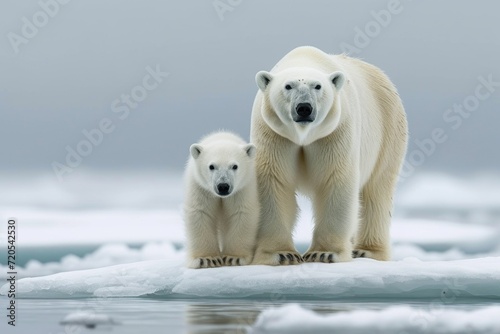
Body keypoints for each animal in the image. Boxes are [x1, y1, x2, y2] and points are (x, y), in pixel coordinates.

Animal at [186, 130, 260, 268]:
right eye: (211, 166)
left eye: (234, 166)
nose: (223, 186)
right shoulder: (201, 188)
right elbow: (201, 212)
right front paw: (206, 259)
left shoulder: (242, 189)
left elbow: (241, 212)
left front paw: (234, 258)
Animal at [252, 46, 408, 266]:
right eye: (288, 86)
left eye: (317, 86)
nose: (304, 108)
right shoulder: (273, 132)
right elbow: (273, 181)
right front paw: (281, 255)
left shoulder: (335, 130)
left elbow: (335, 179)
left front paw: (324, 254)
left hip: (388, 130)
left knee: (377, 189)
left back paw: (366, 251)